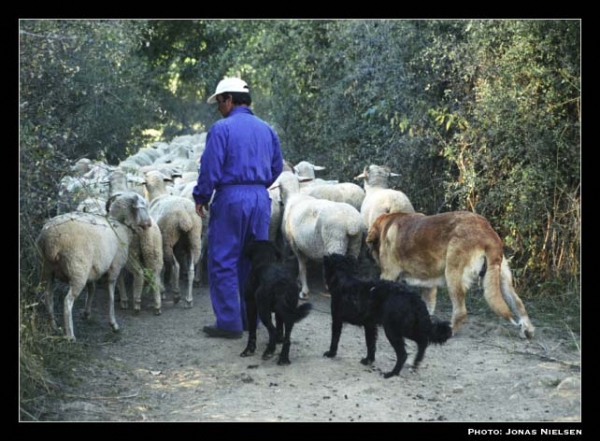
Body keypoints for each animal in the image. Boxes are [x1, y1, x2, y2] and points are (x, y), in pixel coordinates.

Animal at [36, 192, 159, 340]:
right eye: (144, 206)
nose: (150, 224)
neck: (121, 226)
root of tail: (51, 240)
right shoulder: (114, 267)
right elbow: (111, 295)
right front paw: (113, 324)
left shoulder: (93, 270)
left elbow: (92, 289)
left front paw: (86, 313)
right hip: (78, 270)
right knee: (67, 301)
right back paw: (70, 335)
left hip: (47, 269)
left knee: (48, 297)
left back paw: (53, 326)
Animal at [144, 168, 203, 306]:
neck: (158, 195)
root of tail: (185, 216)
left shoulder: (159, 244)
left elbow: (162, 268)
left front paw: (162, 291)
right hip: (193, 239)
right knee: (191, 269)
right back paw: (189, 299)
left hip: (168, 239)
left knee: (176, 266)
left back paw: (176, 295)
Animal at [274, 170, 364, 298]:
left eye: (279, 187)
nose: (279, 202)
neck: (293, 197)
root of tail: (351, 223)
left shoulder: (294, 244)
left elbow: (302, 267)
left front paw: (304, 290)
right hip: (355, 243)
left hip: (335, 242)